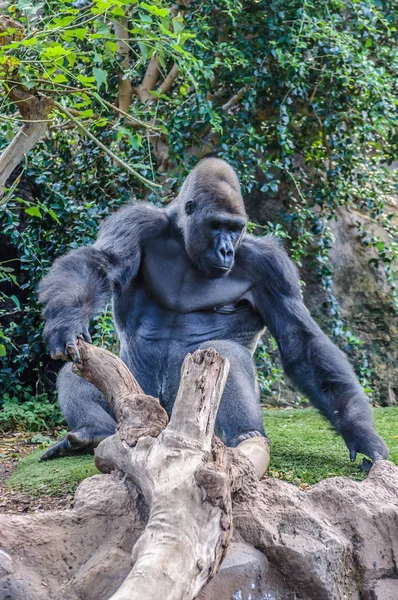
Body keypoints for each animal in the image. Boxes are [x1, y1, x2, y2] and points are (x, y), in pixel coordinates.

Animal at [38, 158, 388, 468]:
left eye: (235, 229)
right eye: (217, 225)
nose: (226, 250)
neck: (184, 240)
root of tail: (166, 422)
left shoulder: (272, 266)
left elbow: (300, 344)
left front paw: (362, 434)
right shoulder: (136, 222)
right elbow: (100, 263)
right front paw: (66, 323)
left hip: (196, 421)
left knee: (225, 352)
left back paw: (247, 436)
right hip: (141, 400)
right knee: (79, 371)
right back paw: (94, 432)